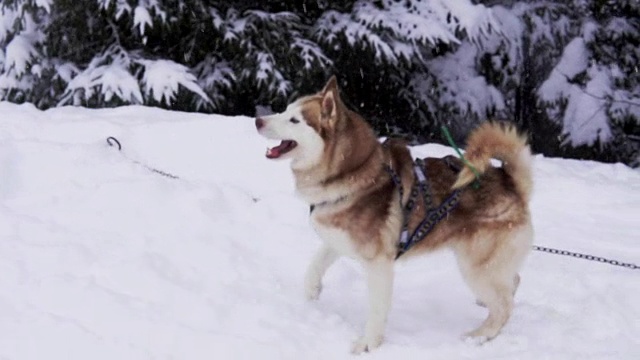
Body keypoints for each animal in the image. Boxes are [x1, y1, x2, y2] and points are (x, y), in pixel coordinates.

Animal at [252, 76, 532, 354]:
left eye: (294, 120)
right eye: (286, 110)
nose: (258, 120)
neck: (353, 174)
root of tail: (510, 182)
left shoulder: (379, 264)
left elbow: (377, 309)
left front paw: (368, 343)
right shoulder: (337, 239)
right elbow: (314, 265)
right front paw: (311, 293)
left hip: (476, 267)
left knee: (504, 307)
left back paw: (480, 335)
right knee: (514, 281)